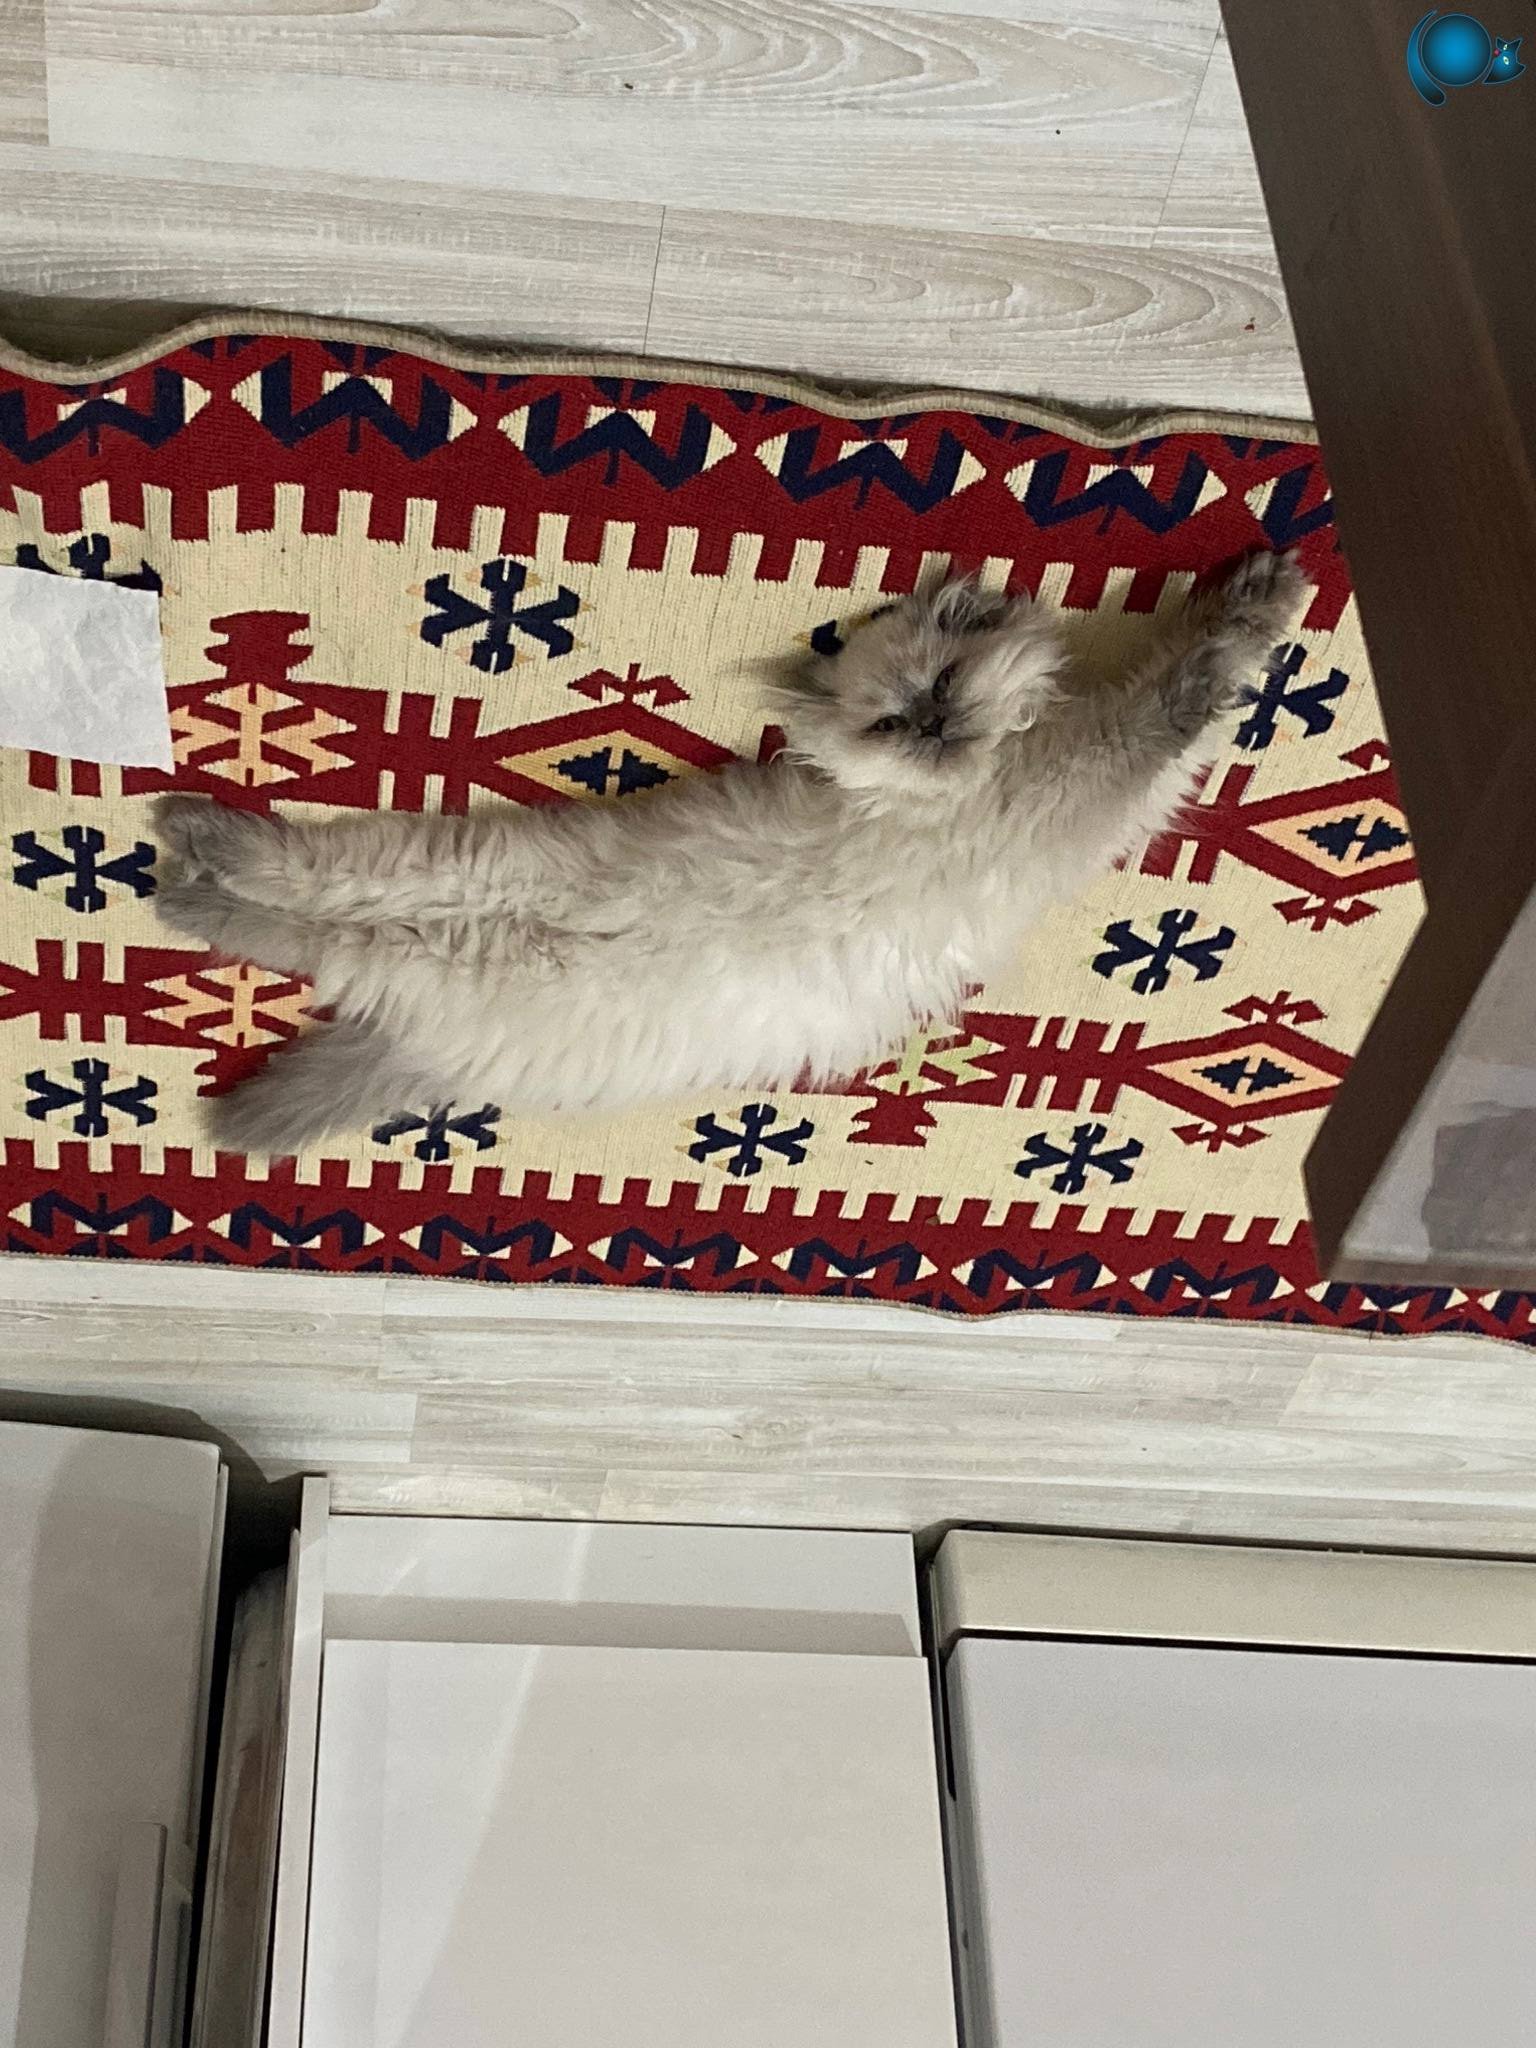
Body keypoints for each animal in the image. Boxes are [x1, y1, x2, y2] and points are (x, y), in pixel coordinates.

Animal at [154, 550, 1305, 1157]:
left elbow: (1180, 720)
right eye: (895, 719)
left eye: (939, 690)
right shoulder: (1098, 770)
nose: (938, 731)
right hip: (448, 883)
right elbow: (1185, 692)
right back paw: (183, 843)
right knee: (300, 893)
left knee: (308, 938)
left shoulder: (1105, 789)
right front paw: (1266, 601)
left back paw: (181, 880)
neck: (988, 773)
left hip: (447, 947)